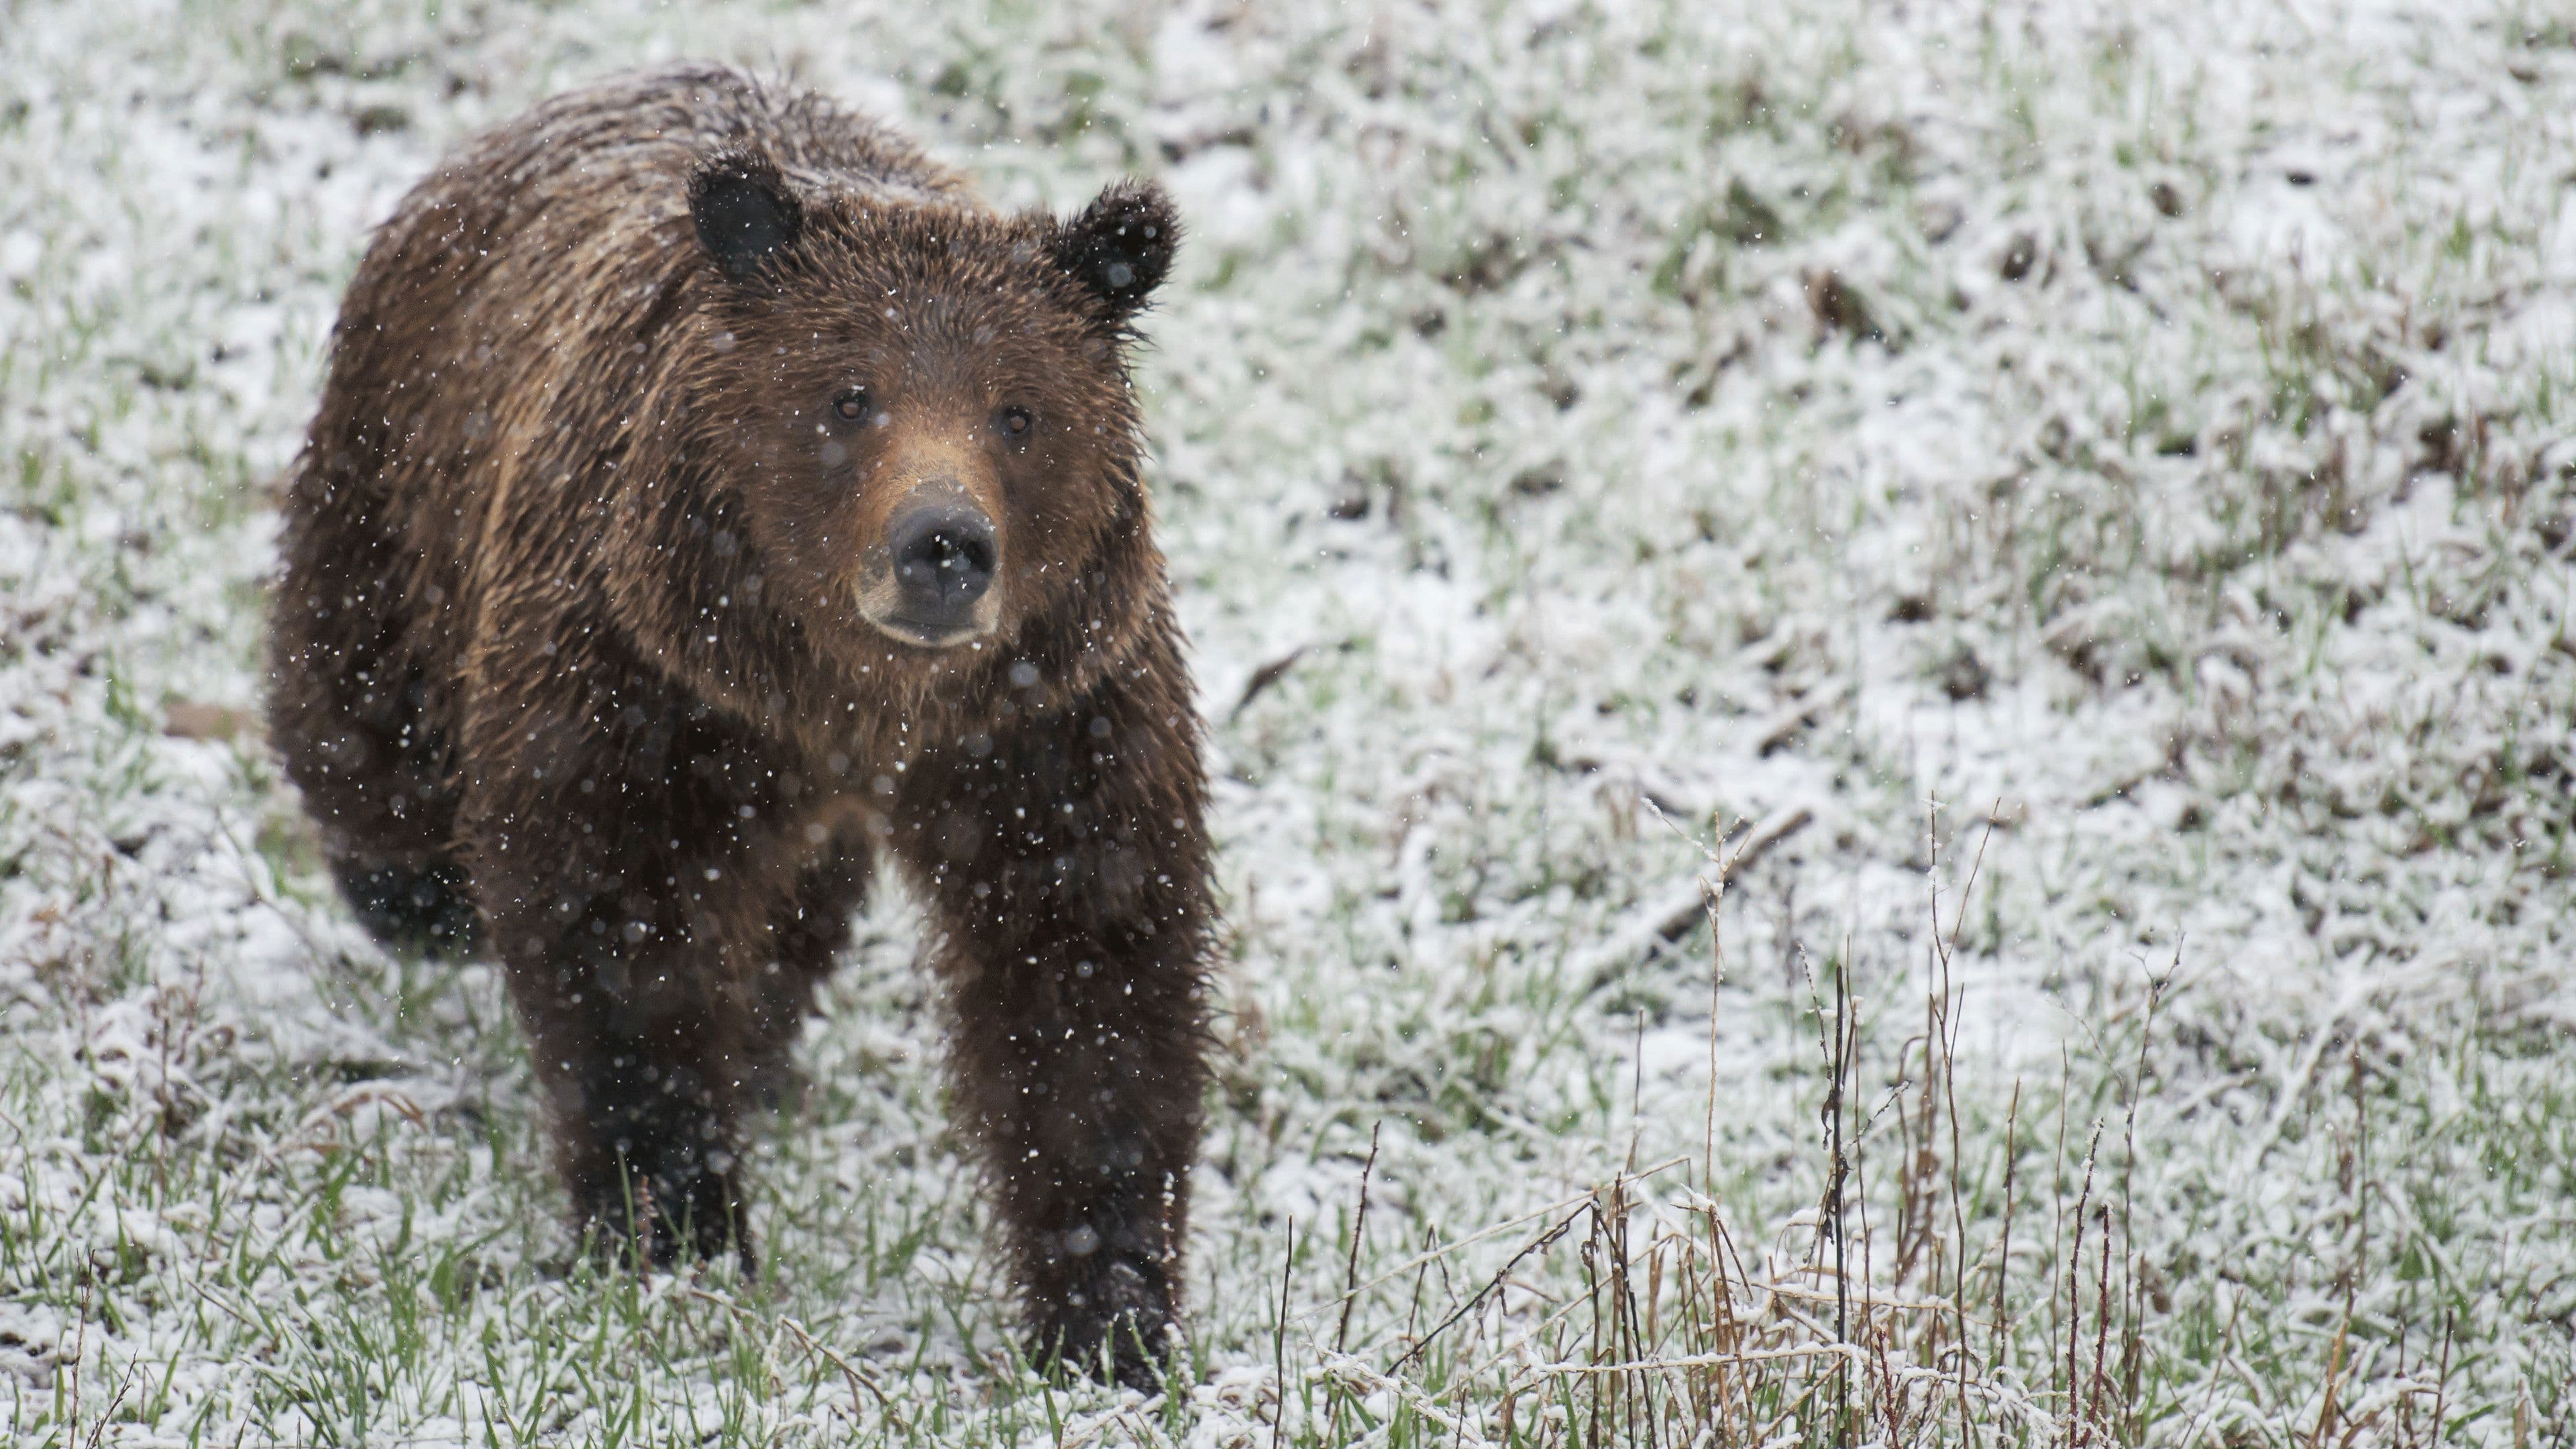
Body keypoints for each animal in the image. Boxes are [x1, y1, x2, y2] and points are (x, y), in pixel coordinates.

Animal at [265, 63, 1214, 1389]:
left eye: (1019, 412)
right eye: (850, 394)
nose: (942, 548)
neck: (848, 695)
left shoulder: (1051, 713)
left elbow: (1089, 967)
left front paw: (1107, 1314)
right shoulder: (645, 675)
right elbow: (616, 924)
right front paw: (675, 1224)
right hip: (402, 478)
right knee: (361, 716)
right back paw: (416, 890)